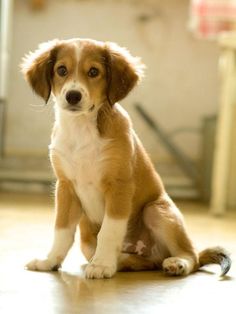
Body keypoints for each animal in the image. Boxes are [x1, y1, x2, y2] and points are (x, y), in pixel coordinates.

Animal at [21, 38, 231, 278]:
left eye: (94, 72)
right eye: (61, 70)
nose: (73, 96)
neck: (81, 129)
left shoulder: (119, 186)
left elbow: (109, 231)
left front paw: (102, 265)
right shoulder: (65, 187)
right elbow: (62, 230)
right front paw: (50, 262)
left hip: (155, 210)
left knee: (192, 256)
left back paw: (176, 263)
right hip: (89, 240)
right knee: (146, 262)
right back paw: (118, 261)